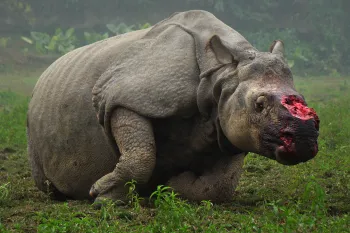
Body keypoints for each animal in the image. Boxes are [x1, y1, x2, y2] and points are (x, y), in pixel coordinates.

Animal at [28, 10, 320, 204]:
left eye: (303, 99)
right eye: (259, 105)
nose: (304, 138)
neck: (222, 74)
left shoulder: (226, 123)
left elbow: (220, 187)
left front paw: (171, 187)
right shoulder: (123, 94)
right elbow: (141, 153)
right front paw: (103, 197)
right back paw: (57, 195)